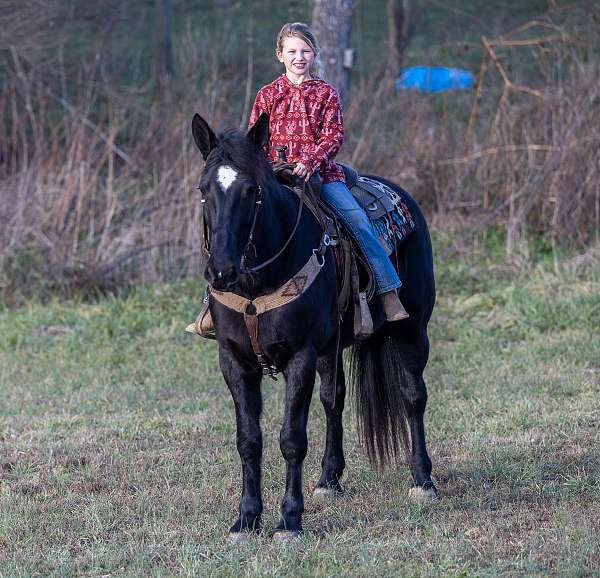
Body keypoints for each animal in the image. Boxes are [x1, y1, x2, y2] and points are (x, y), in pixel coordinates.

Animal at [192, 112, 436, 540]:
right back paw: (328, 481)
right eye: (205, 190)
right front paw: (246, 519)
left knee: (412, 396)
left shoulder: (300, 356)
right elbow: (248, 440)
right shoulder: (235, 361)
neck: (258, 282)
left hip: (412, 330)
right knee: (333, 400)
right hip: (331, 349)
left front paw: (289, 520)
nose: (221, 270)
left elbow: (291, 438)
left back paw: (422, 480)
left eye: (251, 190)